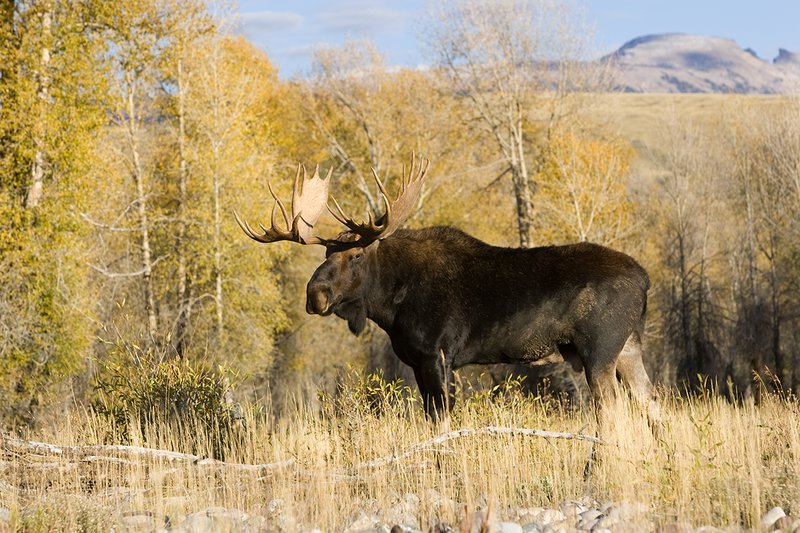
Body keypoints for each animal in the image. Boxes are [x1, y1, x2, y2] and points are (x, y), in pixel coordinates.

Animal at [235, 156, 660, 426]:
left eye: (355, 254)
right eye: (325, 252)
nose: (315, 294)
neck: (390, 306)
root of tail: (645, 279)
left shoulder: (437, 355)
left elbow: (441, 423)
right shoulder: (418, 362)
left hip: (599, 350)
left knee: (616, 414)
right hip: (628, 348)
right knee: (653, 405)